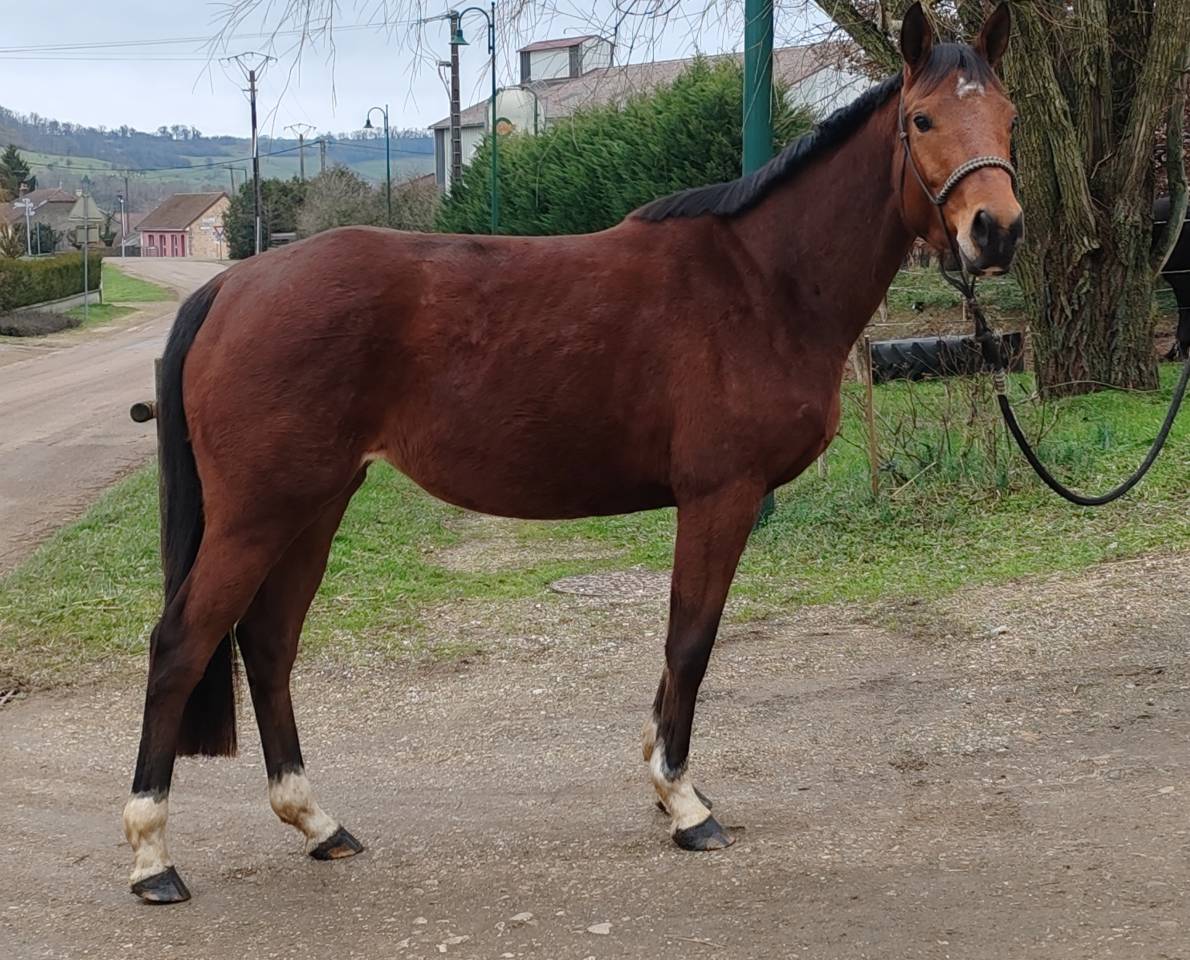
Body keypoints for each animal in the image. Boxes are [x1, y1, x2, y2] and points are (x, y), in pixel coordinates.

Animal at [123, 1, 1021, 903]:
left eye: (1011, 116)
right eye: (922, 119)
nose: (997, 231)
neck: (764, 282)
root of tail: (234, 285)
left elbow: (681, 643)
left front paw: (664, 785)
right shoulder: (721, 496)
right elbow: (690, 641)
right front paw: (684, 804)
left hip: (315, 505)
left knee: (269, 644)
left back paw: (318, 824)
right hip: (260, 514)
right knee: (181, 645)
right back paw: (152, 855)